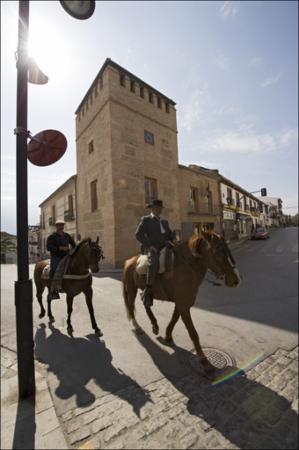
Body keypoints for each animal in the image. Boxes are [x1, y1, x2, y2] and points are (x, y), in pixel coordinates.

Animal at [123, 232, 243, 376]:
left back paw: (155, 325)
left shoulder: (182, 303)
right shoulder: (183, 304)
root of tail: (130, 261)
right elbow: (193, 333)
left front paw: (168, 336)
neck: (187, 267)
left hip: (146, 292)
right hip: (131, 289)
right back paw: (137, 326)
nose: (236, 280)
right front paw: (205, 362)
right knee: (131, 307)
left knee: (146, 303)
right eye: (217, 249)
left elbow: (174, 319)